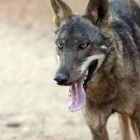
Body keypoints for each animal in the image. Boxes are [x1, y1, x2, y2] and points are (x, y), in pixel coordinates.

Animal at [50, 0, 140, 139]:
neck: (106, 92)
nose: (59, 79)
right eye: (60, 45)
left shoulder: (137, 117)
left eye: (83, 45)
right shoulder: (96, 128)